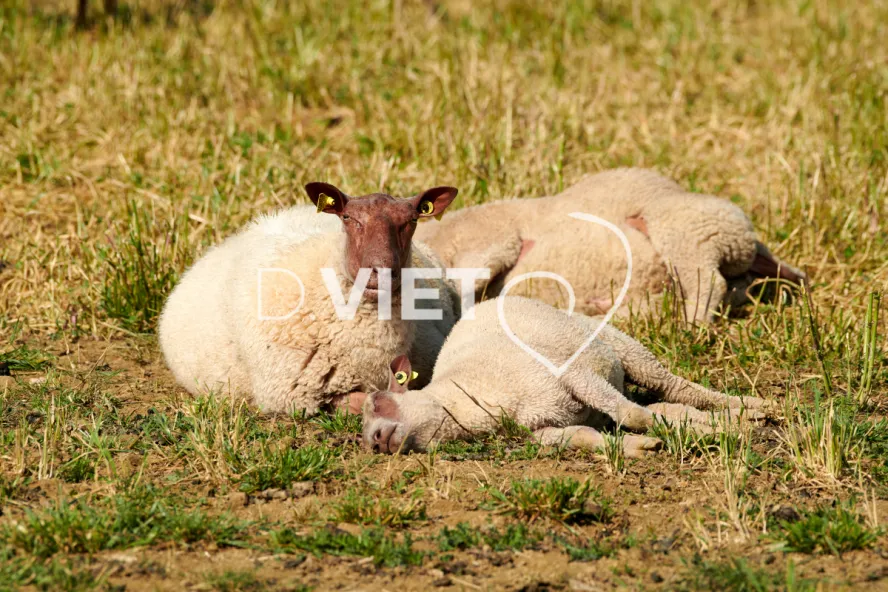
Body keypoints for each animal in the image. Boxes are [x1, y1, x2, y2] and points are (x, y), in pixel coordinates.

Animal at [362, 296, 769, 456]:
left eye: (379, 400)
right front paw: (639, 447)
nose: (376, 441)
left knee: (671, 385)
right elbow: (587, 437)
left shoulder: (571, 375)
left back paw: (748, 407)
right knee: (670, 407)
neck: (471, 397)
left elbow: (634, 416)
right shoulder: (543, 430)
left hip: (618, 346)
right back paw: (735, 419)